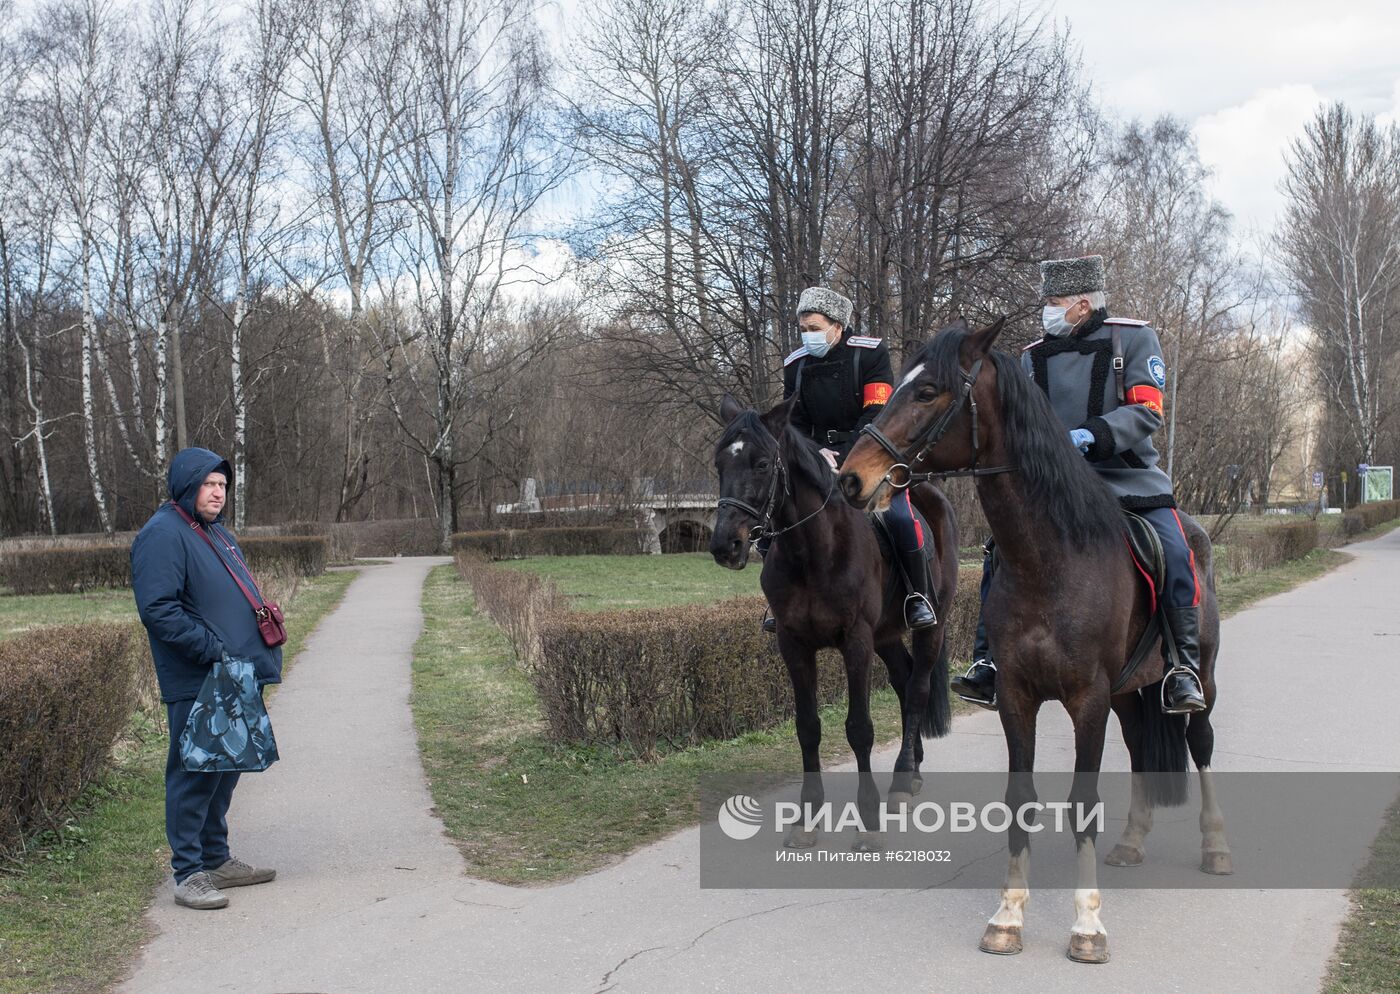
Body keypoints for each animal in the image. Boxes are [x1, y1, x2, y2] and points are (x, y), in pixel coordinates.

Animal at [716, 394, 957, 851]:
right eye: (719, 462)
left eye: (761, 463)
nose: (726, 545)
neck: (813, 550)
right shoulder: (793, 644)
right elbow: (807, 727)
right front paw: (807, 816)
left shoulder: (856, 640)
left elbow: (859, 728)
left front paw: (868, 820)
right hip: (885, 635)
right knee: (903, 683)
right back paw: (912, 768)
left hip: (929, 627)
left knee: (917, 689)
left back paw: (902, 780)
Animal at [834, 323, 1232, 968]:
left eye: (929, 392)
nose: (851, 478)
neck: (1051, 556)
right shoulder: (1019, 696)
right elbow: (1020, 797)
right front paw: (1008, 916)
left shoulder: (1087, 699)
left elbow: (1082, 800)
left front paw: (1088, 925)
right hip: (1128, 693)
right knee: (1140, 747)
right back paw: (1132, 840)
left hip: (1201, 683)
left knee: (1200, 744)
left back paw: (1216, 846)